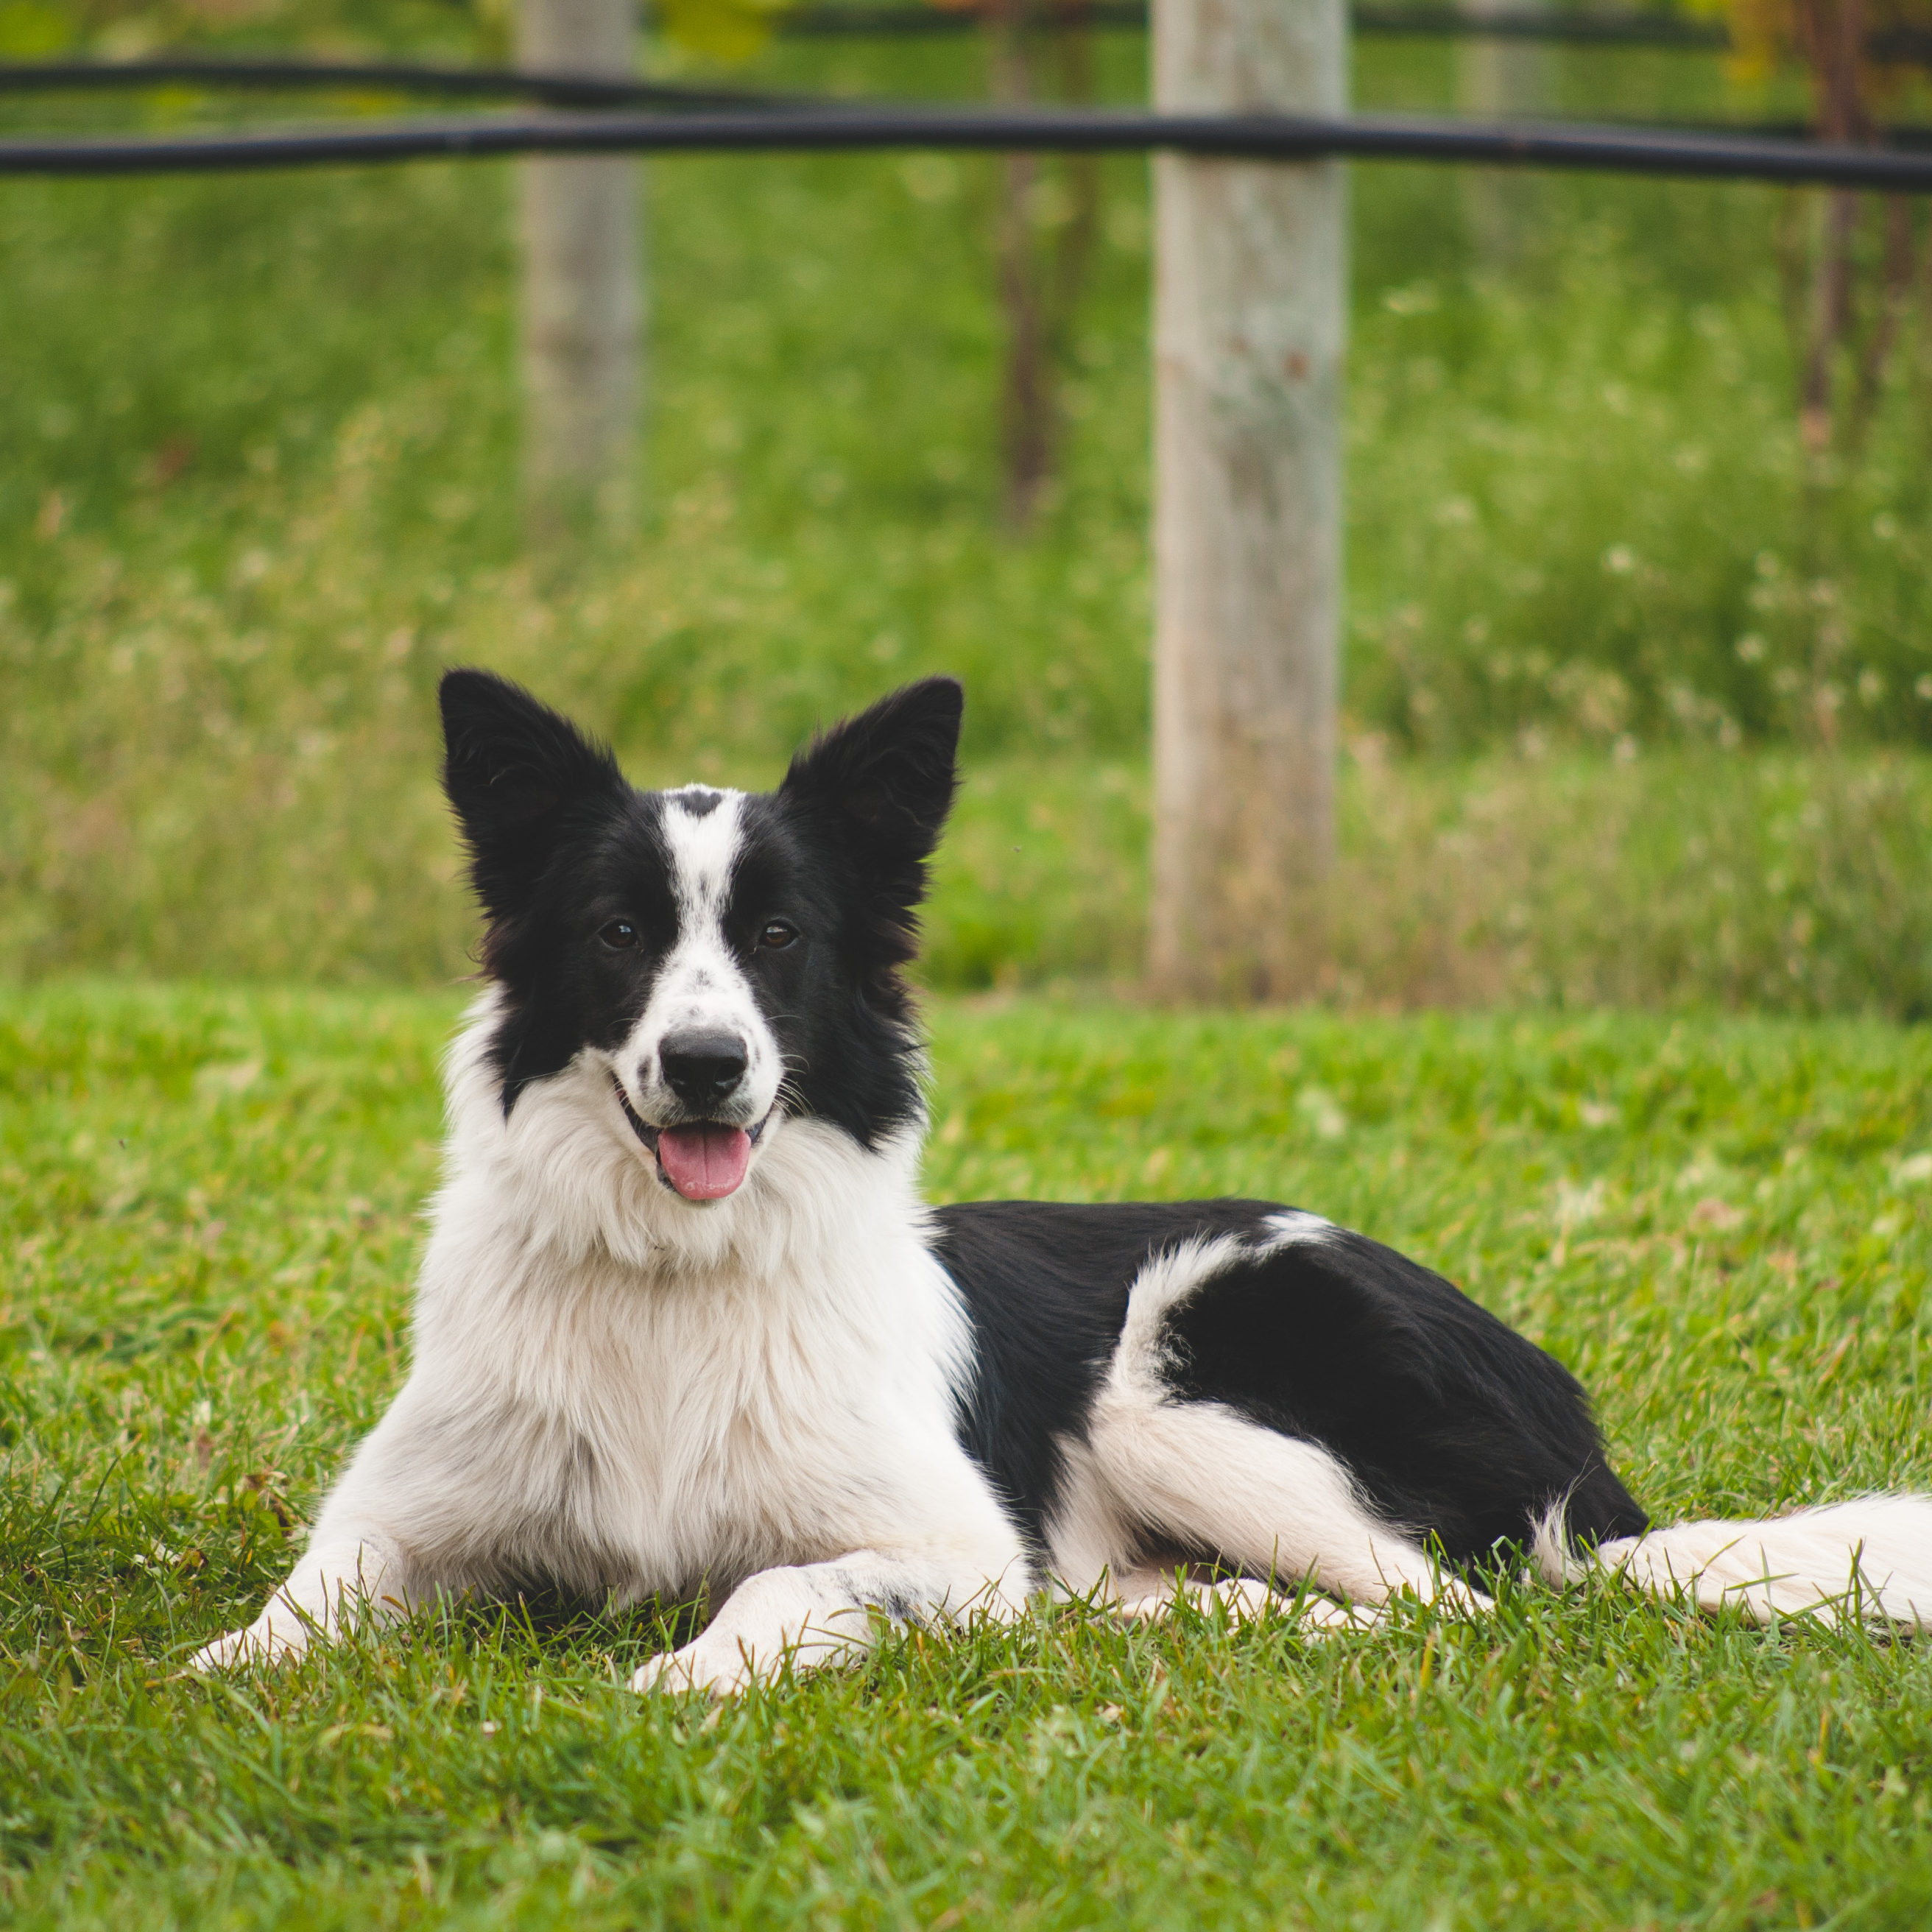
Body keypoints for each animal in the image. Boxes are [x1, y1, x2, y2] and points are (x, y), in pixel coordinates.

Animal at [196, 668, 1932, 1692]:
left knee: (1442, 1601)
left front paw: (689, 1674)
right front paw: (228, 1668)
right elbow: (298, 1606)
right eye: (619, 931)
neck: (675, 1281)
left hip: (1172, 1370)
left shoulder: (951, 1543)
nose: (704, 1064)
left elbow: (780, 1586)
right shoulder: (396, 1523)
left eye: (779, 936)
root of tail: (1578, 1445)